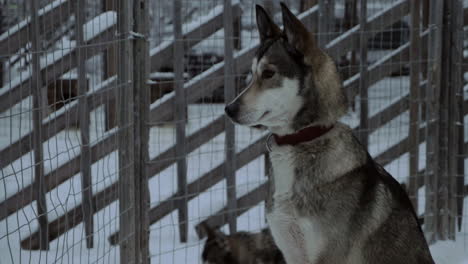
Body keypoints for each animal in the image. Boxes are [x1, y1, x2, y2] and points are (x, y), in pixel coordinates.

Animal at [225, 4, 434, 264]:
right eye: (253, 73)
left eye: (269, 73)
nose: (228, 109)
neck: (300, 139)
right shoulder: (290, 250)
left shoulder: (328, 254)